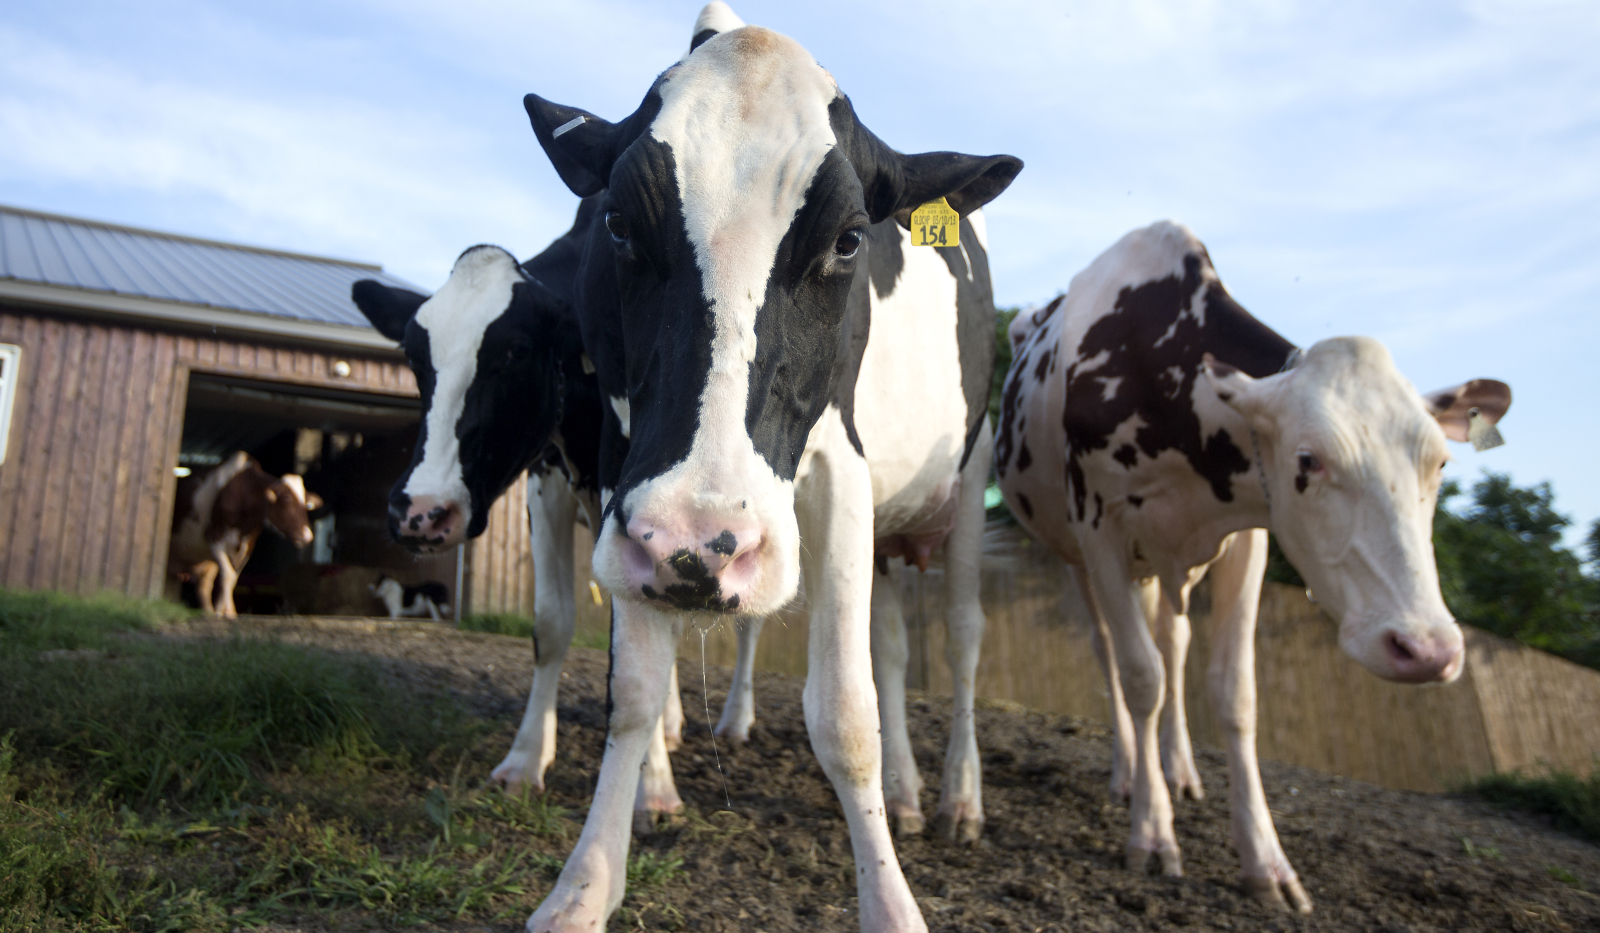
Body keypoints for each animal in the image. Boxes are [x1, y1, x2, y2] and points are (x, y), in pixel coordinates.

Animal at [168, 451, 321, 620]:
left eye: (307, 504)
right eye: (287, 499)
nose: (307, 535)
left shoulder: (248, 546)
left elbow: (232, 579)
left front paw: (222, 612)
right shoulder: (214, 536)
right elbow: (228, 575)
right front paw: (228, 612)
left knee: (203, 585)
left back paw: (208, 612)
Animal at [524, 3, 1024, 928]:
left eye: (850, 238)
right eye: (617, 224)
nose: (695, 539)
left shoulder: (841, 469)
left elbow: (847, 715)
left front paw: (891, 903)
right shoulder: (625, 471)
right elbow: (633, 690)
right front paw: (582, 888)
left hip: (967, 480)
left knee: (963, 636)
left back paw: (956, 798)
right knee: (893, 644)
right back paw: (906, 794)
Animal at [998, 224, 1510, 915]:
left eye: (1441, 463)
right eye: (1308, 459)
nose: (1426, 649)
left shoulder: (1249, 539)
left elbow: (1234, 693)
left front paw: (1265, 861)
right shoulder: (1098, 527)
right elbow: (1140, 678)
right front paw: (1152, 833)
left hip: (1162, 567)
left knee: (1175, 641)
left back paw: (1179, 769)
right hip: (1078, 556)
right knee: (1112, 653)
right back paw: (1131, 772)